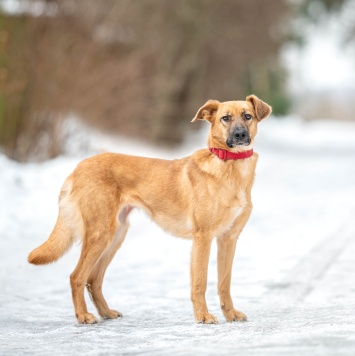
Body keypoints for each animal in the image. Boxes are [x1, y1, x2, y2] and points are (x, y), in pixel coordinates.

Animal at [27, 95, 272, 326]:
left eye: (247, 116)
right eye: (225, 118)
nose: (240, 135)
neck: (230, 166)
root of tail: (78, 167)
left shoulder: (228, 239)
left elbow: (224, 283)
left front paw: (230, 314)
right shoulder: (203, 238)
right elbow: (200, 282)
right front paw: (203, 316)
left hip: (115, 236)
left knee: (93, 279)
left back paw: (106, 312)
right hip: (100, 234)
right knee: (77, 276)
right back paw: (84, 316)